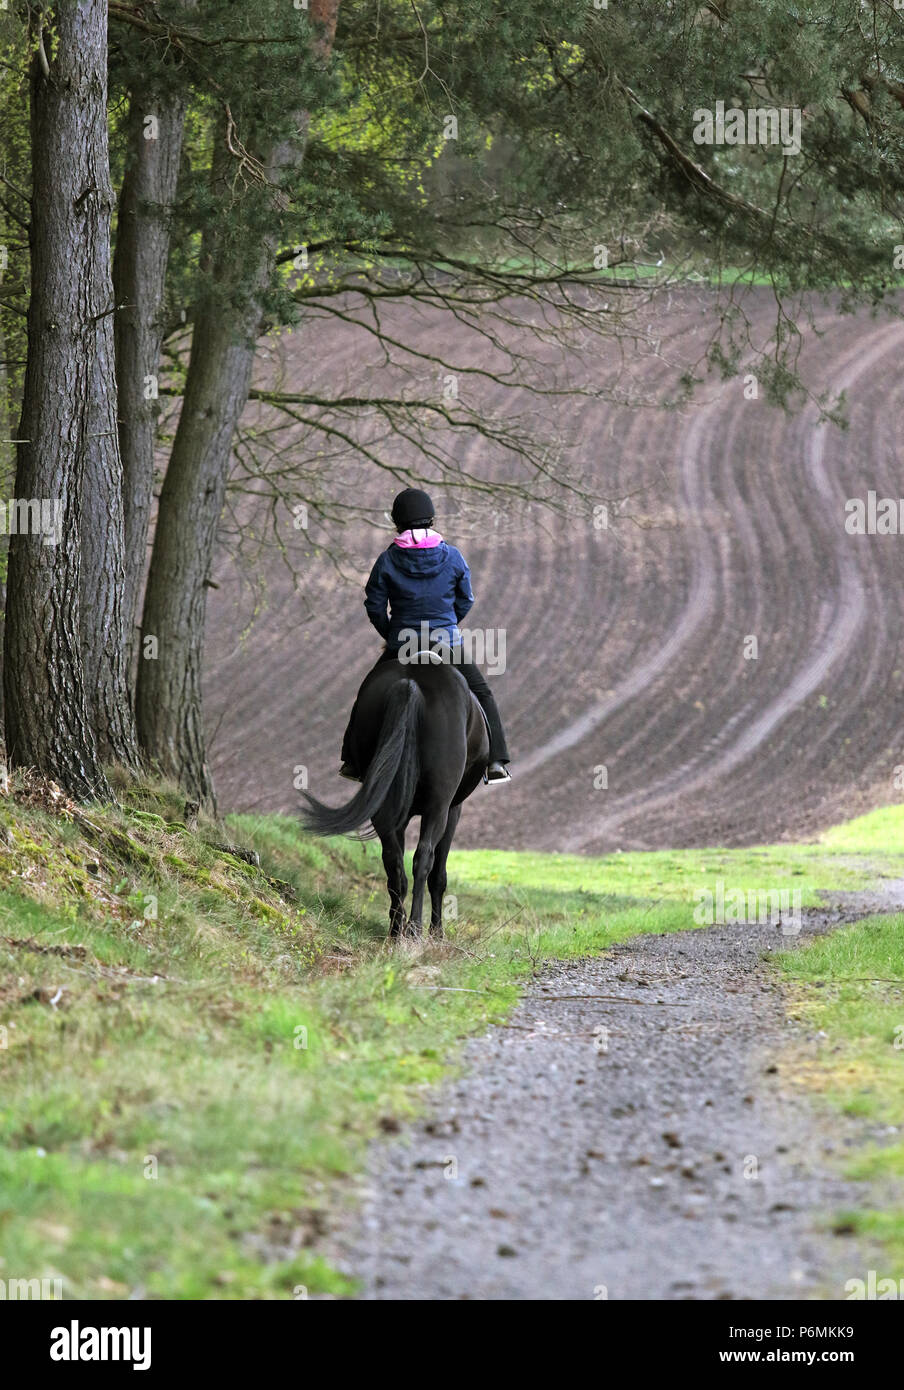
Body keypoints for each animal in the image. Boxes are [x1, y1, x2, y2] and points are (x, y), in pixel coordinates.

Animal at [300, 656, 486, 939]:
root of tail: (410, 683)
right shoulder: (453, 808)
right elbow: (438, 874)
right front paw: (437, 932)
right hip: (438, 806)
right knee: (423, 858)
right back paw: (414, 927)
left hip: (385, 803)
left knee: (392, 860)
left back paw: (396, 927)